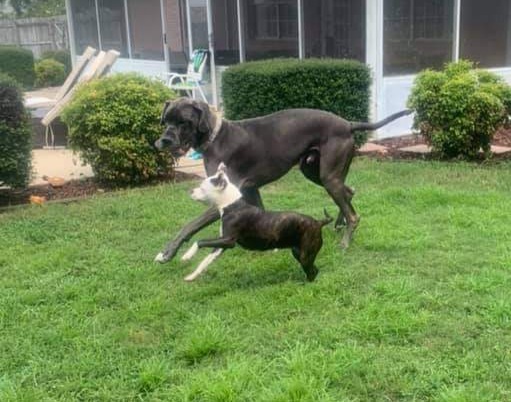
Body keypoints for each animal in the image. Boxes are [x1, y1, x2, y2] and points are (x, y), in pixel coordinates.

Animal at [179, 163, 332, 282]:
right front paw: (191, 276)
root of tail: (319, 222)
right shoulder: (221, 246)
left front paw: (186, 256)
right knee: (314, 270)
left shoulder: (228, 241)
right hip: (297, 251)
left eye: (202, 187)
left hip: (305, 255)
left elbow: (200, 241)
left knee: (311, 270)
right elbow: (205, 261)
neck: (233, 205)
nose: (190, 191)